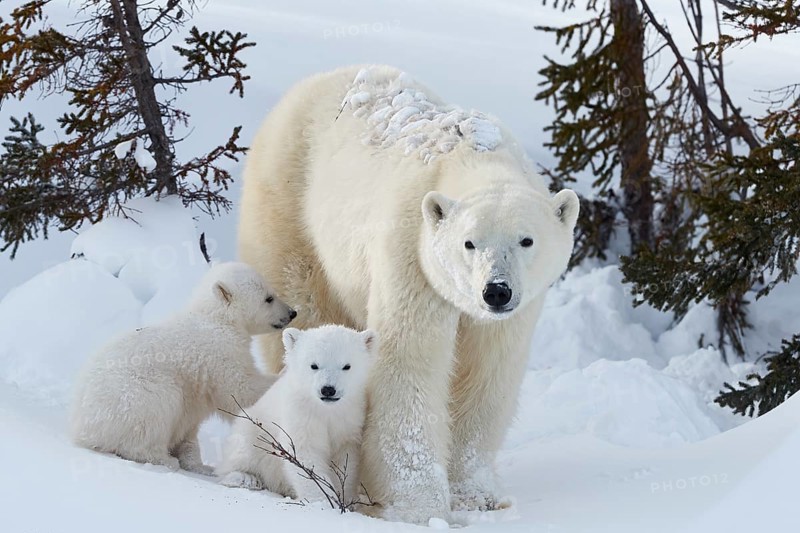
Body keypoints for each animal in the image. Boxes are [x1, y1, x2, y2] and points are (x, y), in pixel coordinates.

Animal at [70, 261, 296, 473]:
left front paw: (199, 464)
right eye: (269, 298)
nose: (292, 312)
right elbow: (241, 391)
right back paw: (162, 458)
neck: (216, 319)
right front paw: (284, 373)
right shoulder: (219, 353)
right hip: (134, 397)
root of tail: (83, 427)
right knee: (157, 411)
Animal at [216, 325, 375, 503]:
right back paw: (244, 478)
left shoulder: (350, 420)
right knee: (242, 451)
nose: (328, 389)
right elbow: (304, 452)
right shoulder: (301, 414)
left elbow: (346, 458)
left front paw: (345, 499)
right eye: (314, 365)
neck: (325, 409)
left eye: (347, 366)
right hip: (252, 427)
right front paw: (323, 501)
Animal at [237, 65, 579, 523]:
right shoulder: (412, 253)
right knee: (306, 306)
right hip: (290, 204)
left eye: (526, 240)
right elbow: (408, 365)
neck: (472, 152)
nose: (496, 292)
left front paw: (477, 497)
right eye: (469, 243)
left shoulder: (511, 315)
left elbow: (486, 374)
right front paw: (419, 508)